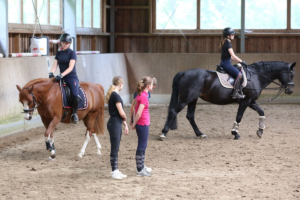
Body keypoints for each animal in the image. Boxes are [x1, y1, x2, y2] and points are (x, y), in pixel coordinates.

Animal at [161, 61, 296, 141]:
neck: (256, 76)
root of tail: (183, 72)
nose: (290, 90)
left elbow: (262, 112)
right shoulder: (245, 101)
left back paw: (200, 134)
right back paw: (163, 133)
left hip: (193, 99)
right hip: (186, 98)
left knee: (190, 116)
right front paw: (235, 133)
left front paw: (260, 131)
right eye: (291, 75)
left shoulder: (251, 101)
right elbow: (239, 117)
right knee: (173, 111)